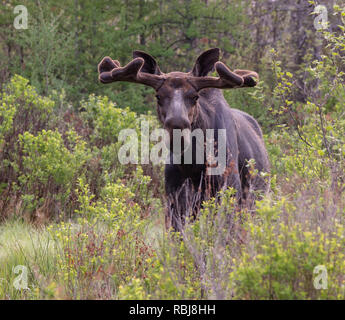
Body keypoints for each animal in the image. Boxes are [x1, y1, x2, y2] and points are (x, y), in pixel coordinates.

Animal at [97, 48, 268, 231]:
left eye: (195, 96)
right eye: (158, 96)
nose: (177, 125)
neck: (193, 166)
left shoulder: (228, 191)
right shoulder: (174, 199)